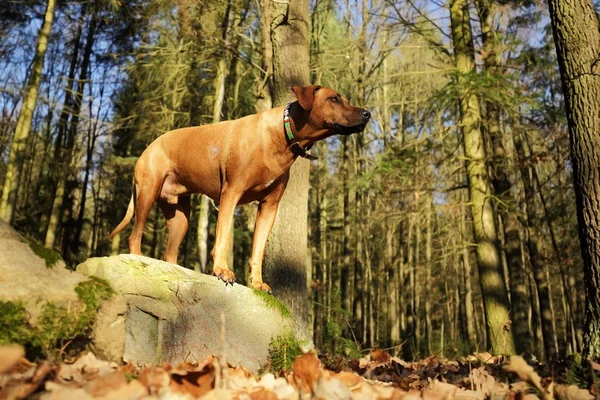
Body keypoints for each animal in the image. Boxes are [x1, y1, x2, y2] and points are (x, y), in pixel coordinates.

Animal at [109, 85, 370, 290]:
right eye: (334, 99)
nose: (367, 113)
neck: (282, 134)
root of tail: (149, 146)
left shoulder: (269, 207)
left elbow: (258, 250)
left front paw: (257, 282)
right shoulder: (230, 194)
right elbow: (223, 236)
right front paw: (221, 270)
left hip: (180, 218)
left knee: (169, 252)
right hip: (147, 192)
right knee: (134, 235)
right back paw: (138, 262)